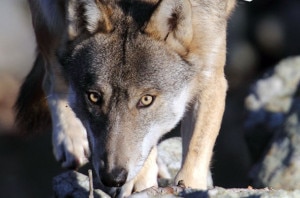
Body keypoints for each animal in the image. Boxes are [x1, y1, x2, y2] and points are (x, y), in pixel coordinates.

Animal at [15, 0, 237, 196]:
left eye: (146, 100)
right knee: (52, 75)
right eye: (94, 97)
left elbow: (195, 152)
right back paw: (70, 140)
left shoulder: (211, 75)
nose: (112, 177)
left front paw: (190, 186)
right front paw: (139, 184)